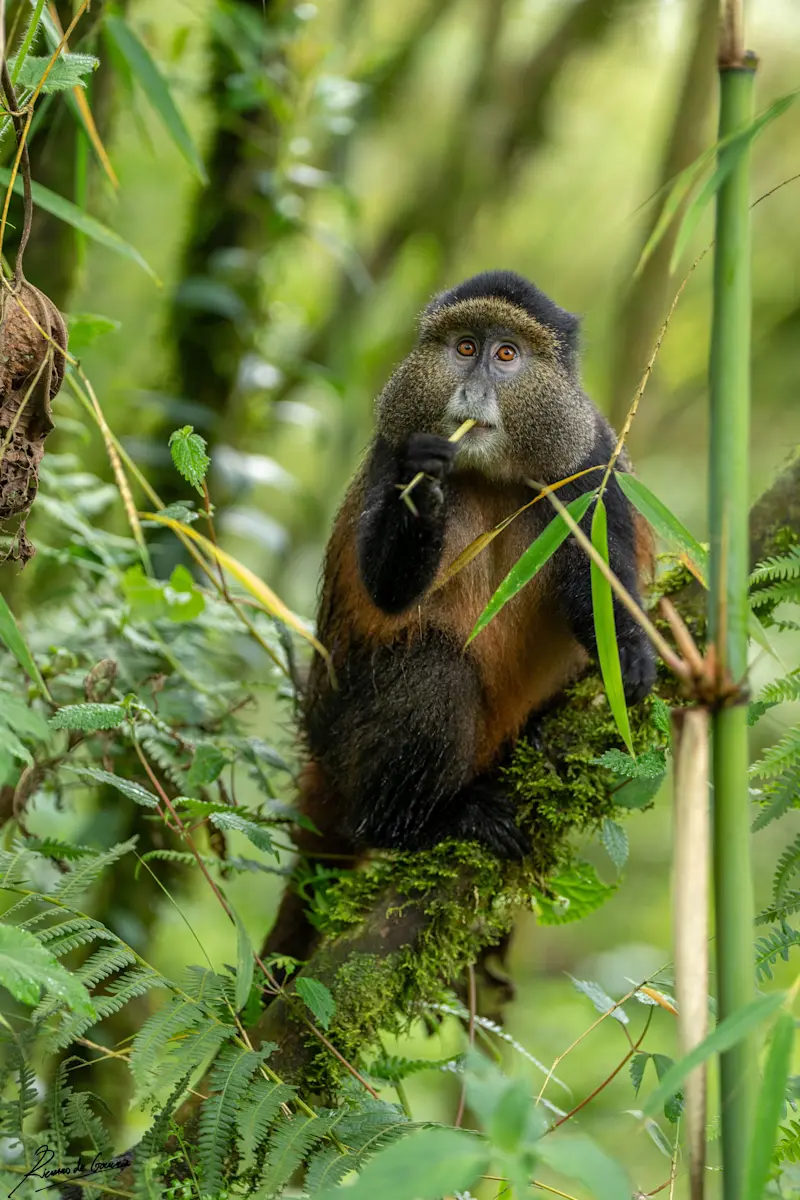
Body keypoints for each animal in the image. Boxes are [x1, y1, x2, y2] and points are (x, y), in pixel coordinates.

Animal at [266, 269, 655, 964]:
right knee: (432, 675)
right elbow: (388, 592)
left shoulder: (590, 460)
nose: (472, 389)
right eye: (464, 347)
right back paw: (423, 824)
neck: (491, 472)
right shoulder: (392, 448)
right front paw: (426, 487)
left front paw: (630, 650)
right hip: (345, 739)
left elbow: (598, 578)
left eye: (506, 355)